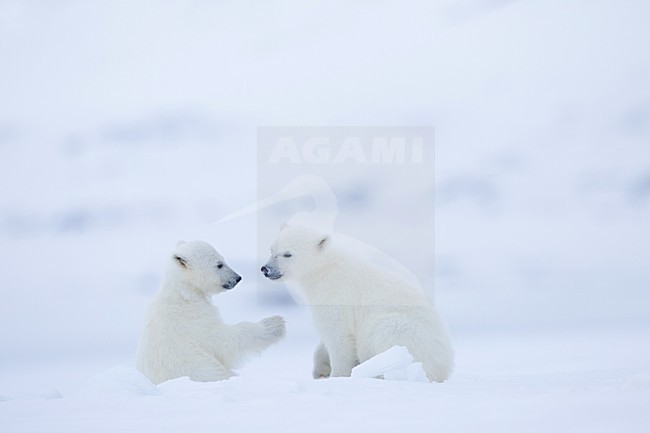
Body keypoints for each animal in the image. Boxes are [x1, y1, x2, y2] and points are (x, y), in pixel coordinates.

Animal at [136, 240, 286, 385]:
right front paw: (275, 323)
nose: (237, 278)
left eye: (223, 259)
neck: (184, 293)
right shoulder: (192, 319)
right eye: (219, 264)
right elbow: (221, 340)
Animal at [261, 225, 454, 382]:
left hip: (401, 330)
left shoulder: (336, 297)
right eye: (271, 249)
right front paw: (320, 370)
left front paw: (337, 375)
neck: (325, 270)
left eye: (287, 254)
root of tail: (443, 368)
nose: (265, 269)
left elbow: (338, 337)